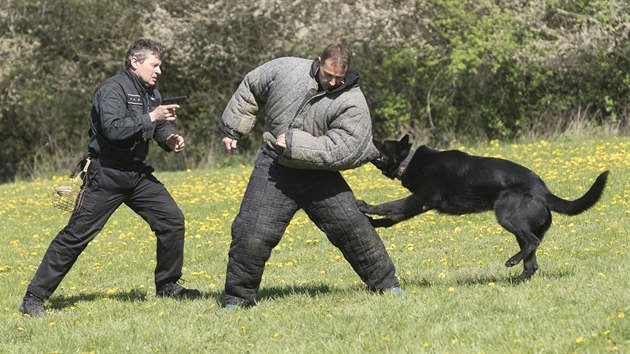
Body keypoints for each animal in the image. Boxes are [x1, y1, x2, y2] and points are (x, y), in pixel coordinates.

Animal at [360, 134, 612, 280]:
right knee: (532, 263)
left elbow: (390, 206)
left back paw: (512, 262)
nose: (370, 138)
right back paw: (516, 280)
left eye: (384, 143)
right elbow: (392, 217)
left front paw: (365, 206)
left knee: (533, 242)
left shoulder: (422, 199)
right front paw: (373, 223)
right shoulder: (416, 205)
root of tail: (544, 191)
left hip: (506, 216)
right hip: (520, 228)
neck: (409, 161)